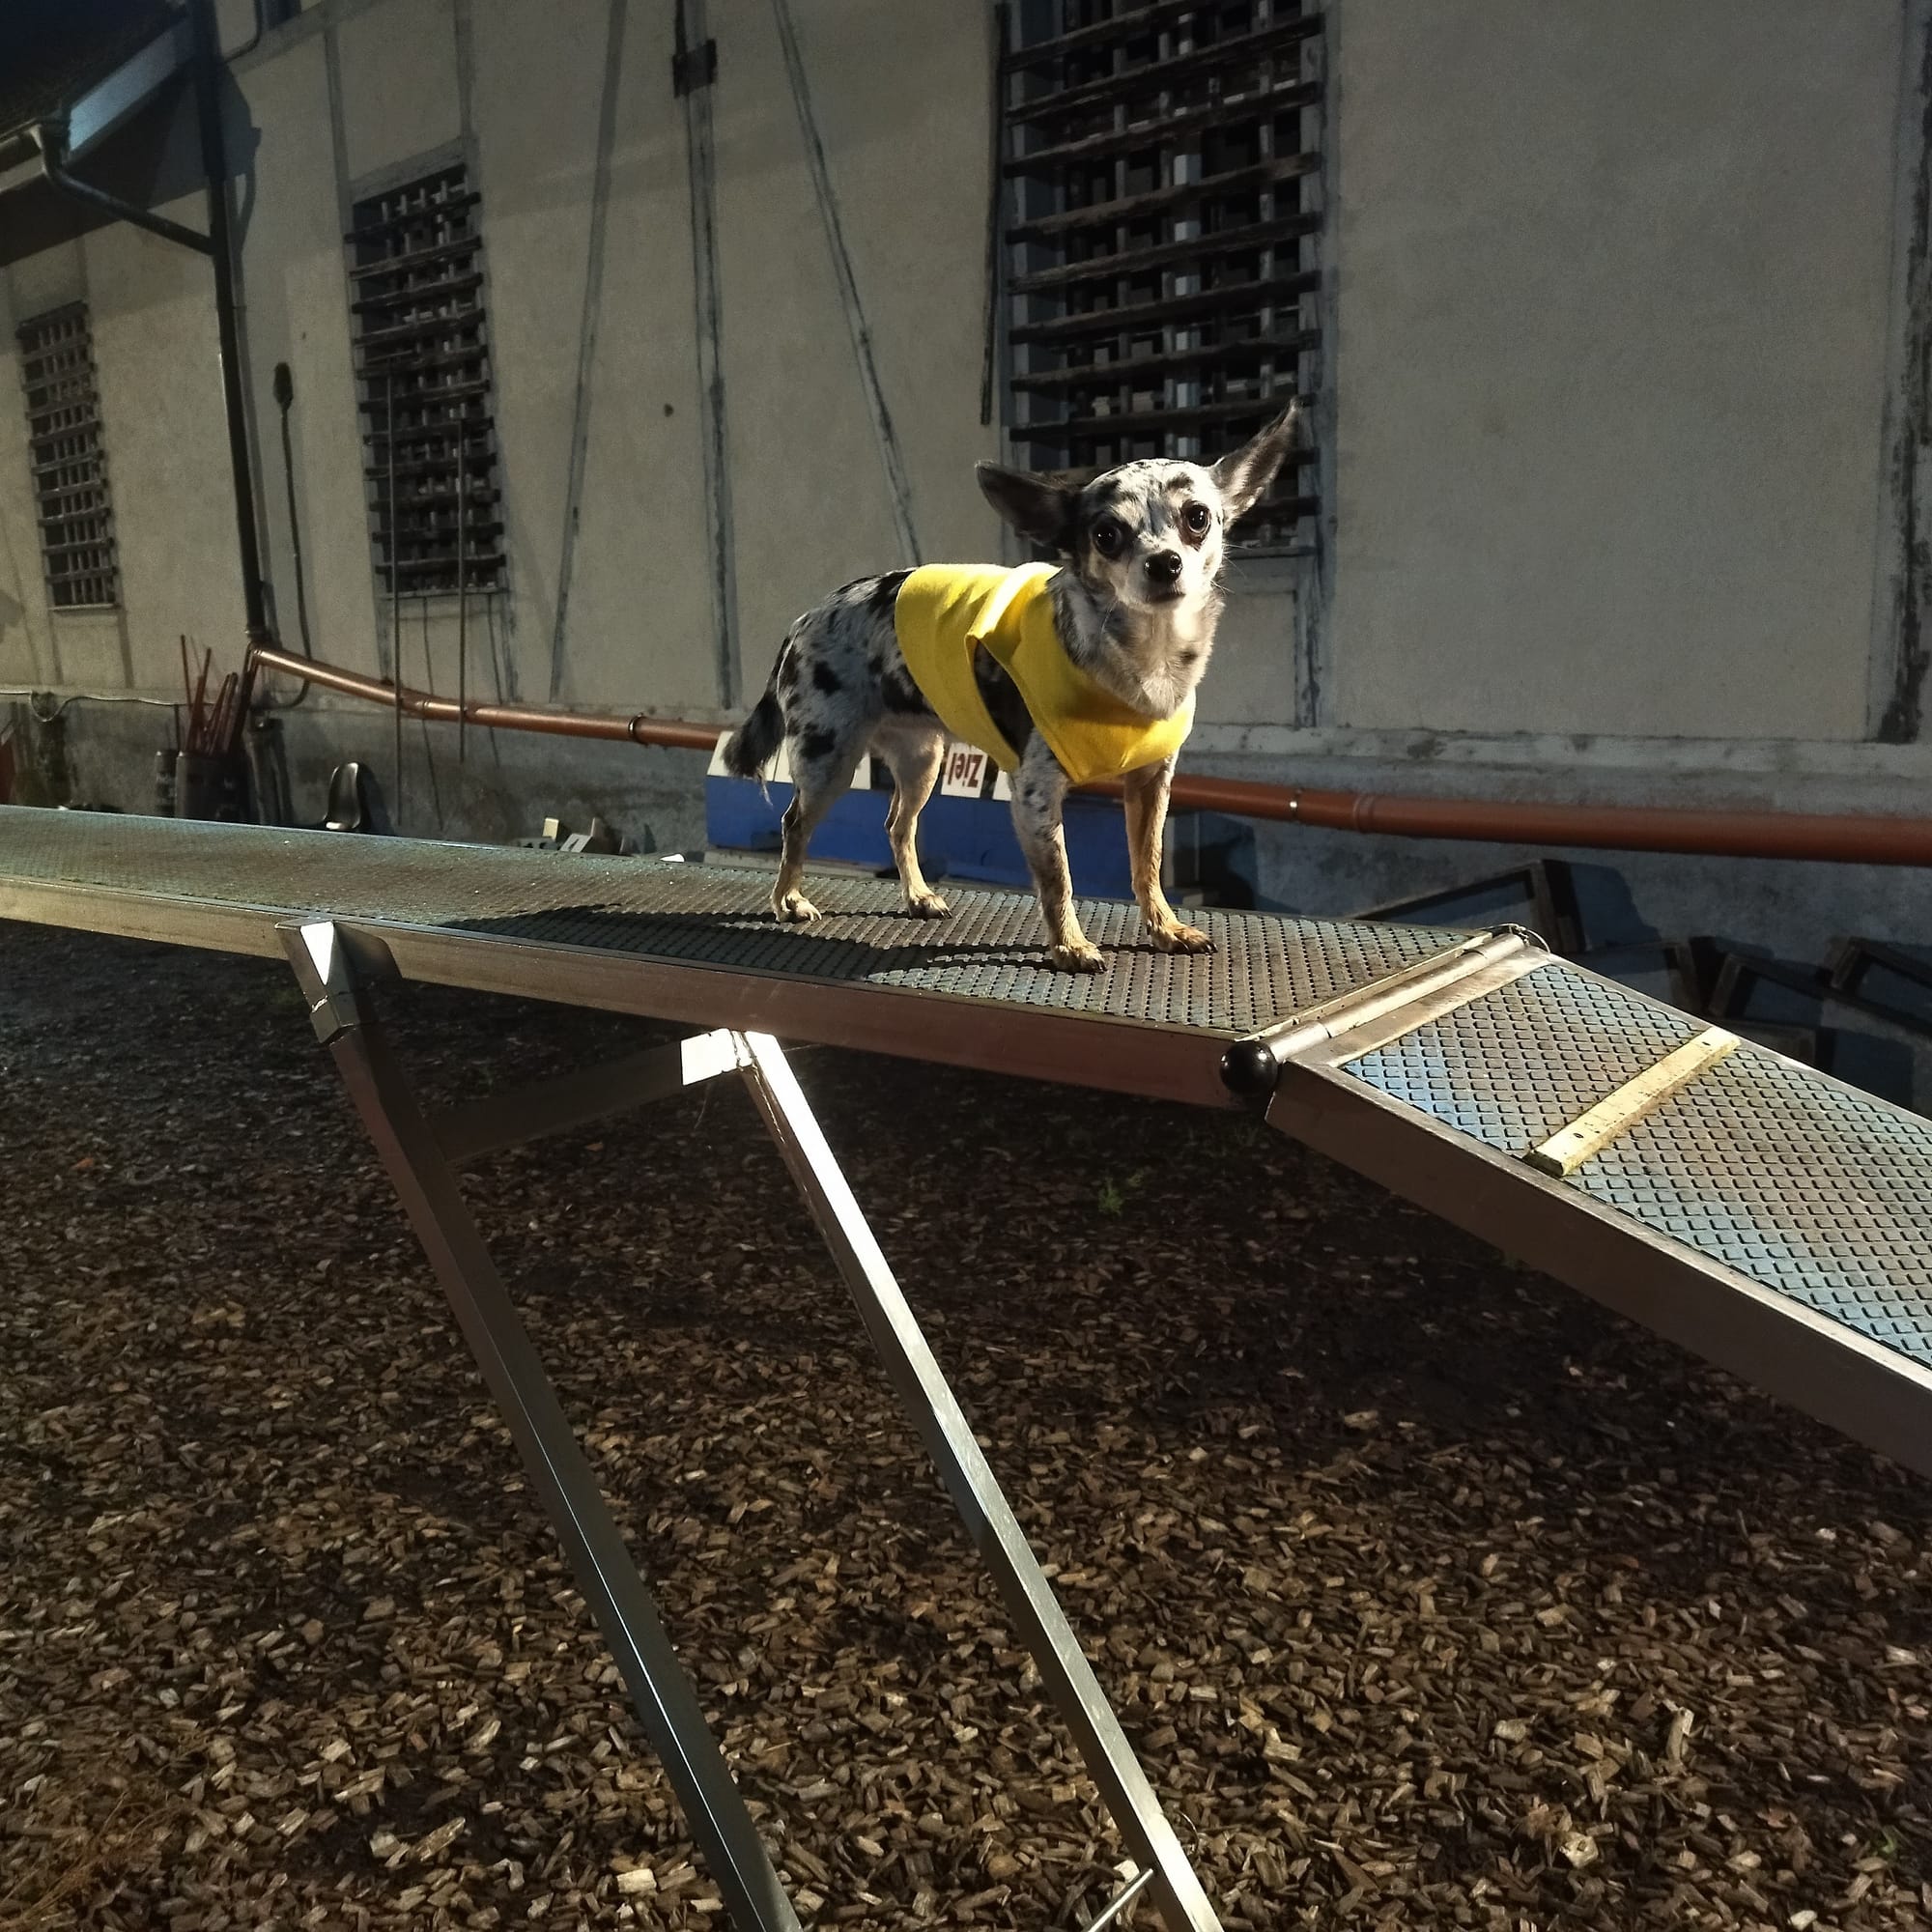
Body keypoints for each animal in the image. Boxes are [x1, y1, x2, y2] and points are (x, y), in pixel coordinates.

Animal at [726, 413, 1298, 974]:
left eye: (1197, 517)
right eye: (1106, 534)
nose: (1164, 563)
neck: (1139, 657)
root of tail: (804, 619)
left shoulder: (1150, 783)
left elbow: (1147, 863)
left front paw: (1164, 928)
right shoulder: (1035, 795)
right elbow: (1058, 878)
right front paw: (1069, 946)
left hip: (920, 761)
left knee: (897, 824)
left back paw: (917, 896)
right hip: (829, 762)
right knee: (794, 823)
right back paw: (788, 900)